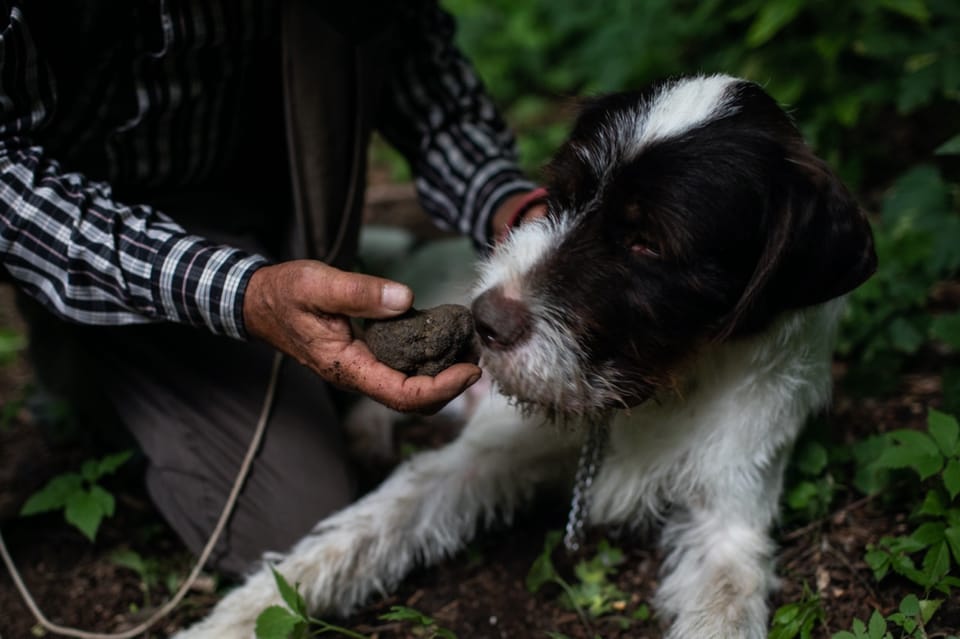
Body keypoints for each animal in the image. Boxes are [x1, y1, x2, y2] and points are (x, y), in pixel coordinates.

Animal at [174, 76, 876, 639]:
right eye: (559, 196)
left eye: (648, 243)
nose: (485, 321)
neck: (660, 386)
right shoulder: (477, 458)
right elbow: (360, 533)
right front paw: (235, 620)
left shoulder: (730, 521)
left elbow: (724, 604)